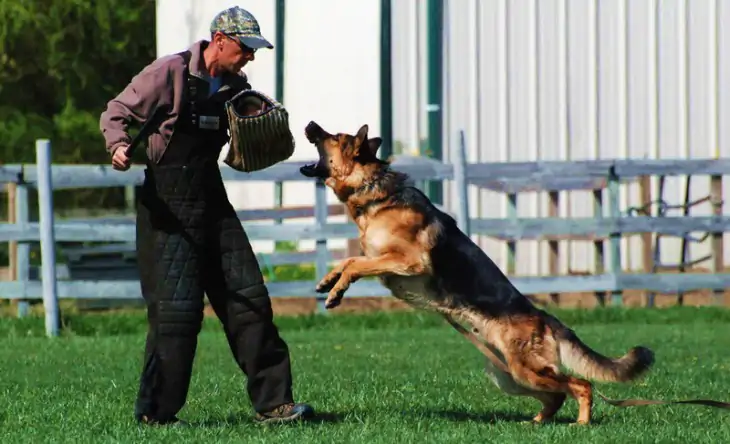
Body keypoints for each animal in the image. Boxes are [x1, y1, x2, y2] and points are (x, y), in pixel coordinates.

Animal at [298, 119, 724, 424]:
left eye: (333, 136)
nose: (309, 123)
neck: (373, 192)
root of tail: (547, 319)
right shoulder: (384, 258)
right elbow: (347, 261)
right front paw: (327, 283)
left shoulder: (407, 259)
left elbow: (357, 262)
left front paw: (336, 291)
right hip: (510, 374)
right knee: (557, 394)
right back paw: (536, 423)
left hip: (525, 370)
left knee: (580, 385)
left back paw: (582, 425)